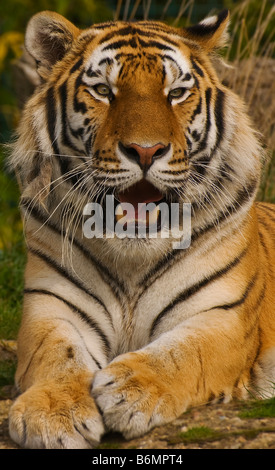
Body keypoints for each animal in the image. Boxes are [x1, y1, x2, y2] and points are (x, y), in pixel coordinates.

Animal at [7, 7, 275, 448]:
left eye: (176, 93)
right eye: (103, 90)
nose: (146, 150)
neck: (133, 254)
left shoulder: (223, 315)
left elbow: (183, 352)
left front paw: (131, 391)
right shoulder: (51, 306)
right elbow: (57, 356)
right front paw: (53, 412)